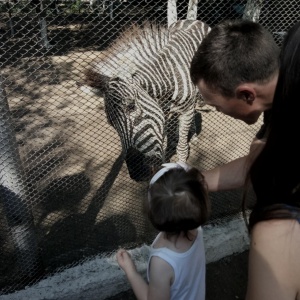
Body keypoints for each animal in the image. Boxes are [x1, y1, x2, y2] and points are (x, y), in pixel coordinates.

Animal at [82, 20, 211, 183]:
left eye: (131, 106)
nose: (136, 173)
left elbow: (181, 147)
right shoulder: (160, 109)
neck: (166, 76)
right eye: (110, 123)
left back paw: (192, 135)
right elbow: (161, 138)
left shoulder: (185, 109)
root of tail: (193, 20)